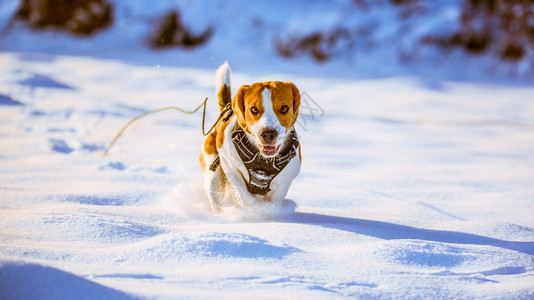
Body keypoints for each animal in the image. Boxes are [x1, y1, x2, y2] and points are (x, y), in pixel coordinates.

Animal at [200, 62, 302, 211]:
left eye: (284, 108)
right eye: (253, 109)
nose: (268, 133)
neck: (263, 160)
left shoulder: (284, 181)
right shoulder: (229, 164)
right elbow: (244, 197)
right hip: (213, 174)